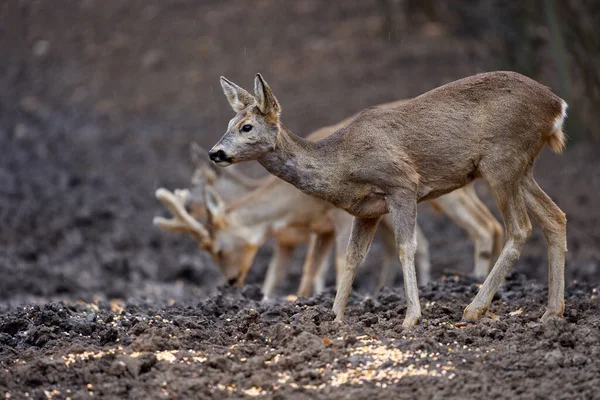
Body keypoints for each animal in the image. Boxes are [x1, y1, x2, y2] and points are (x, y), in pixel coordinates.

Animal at [209, 72, 568, 328]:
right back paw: (552, 313)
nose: (215, 152)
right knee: (555, 217)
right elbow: (352, 258)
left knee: (519, 228)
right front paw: (334, 317)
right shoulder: (365, 210)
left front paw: (411, 317)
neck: (340, 162)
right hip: (521, 168)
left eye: (246, 127)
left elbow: (405, 247)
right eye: (228, 123)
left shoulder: (402, 185)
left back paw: (474, 309)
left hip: (501, 160)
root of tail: (557, 105)